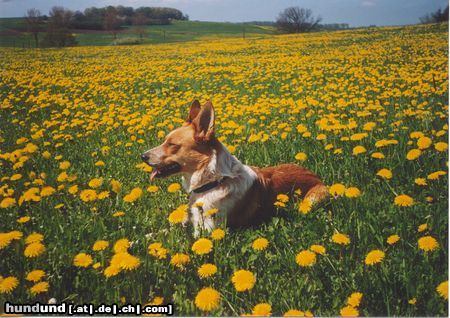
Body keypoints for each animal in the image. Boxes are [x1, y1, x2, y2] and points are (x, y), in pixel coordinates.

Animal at [141, 100, 326, 235]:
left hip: (313, 199)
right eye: (165, 141)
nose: (142, 156)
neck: (214, 182)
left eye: (172, 145)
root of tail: (315, 175)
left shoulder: (207, 231)